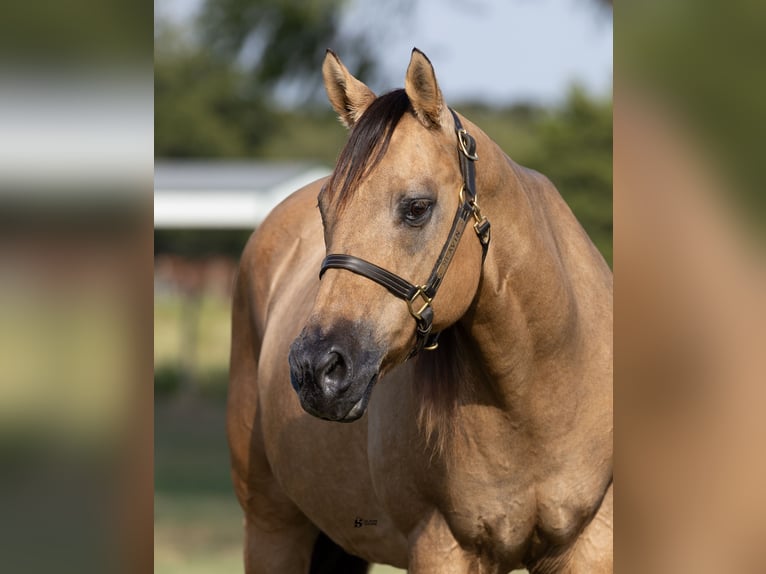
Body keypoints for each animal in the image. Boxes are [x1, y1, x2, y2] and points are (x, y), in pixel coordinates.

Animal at [227, 48, 613, 573]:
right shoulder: (440, 547)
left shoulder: (589, 544)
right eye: (325, 209)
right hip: (272, 529)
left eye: (416, 207)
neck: (536, 396)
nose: (315, 369)